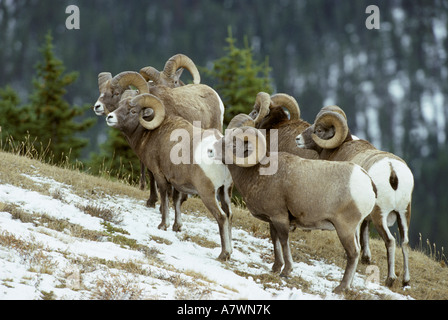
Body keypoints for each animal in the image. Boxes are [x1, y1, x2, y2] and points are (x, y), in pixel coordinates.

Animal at [106, 92, 233, 260]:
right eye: (119, 106)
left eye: (133, 111)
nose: (110, 117)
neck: (153, 134)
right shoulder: (178, 182)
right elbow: (177, 201)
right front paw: (176, 227)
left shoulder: (160, 176)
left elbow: (165, 198)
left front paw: (162, 226)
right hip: (225, 192)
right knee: (229, 215)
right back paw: (230, 253)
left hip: (208, 193)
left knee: (222, 217)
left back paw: (223, 255)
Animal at [208, 112, 376, 292]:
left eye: (233, 144)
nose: (210, 150)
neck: (257, 173)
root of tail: (367, 181)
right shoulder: (272, 219)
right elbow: (275, 240)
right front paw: (276, 268)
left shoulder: (280, 217)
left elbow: (284, 241)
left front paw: (286, 271)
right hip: (354, 230)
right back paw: (348, 287)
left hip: (345, 229)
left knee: (353, 253)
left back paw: (340, 288)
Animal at [296, 105, 414, 288]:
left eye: (319, 130)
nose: (297, 139)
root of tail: (392, 170)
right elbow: (363, 229)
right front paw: (366, 258)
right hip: (404, 213)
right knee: (405, 242)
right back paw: (405, 281)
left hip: (380, 215)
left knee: (390, 241)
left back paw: (390, 279)